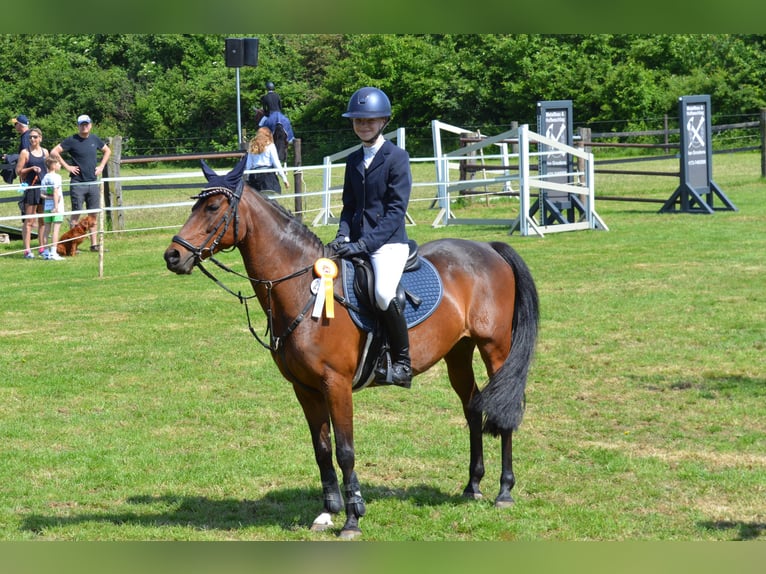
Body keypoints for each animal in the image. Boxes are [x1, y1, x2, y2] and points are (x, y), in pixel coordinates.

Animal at [162, 156, 540, 540]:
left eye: (212, 208)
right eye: (194, 206)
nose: (172, 256)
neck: (303, 287)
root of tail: (488, 248)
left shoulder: (336, 384)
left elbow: (345, 450)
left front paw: (352, 518)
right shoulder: (305, 388)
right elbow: (322, 449)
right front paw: (327, 513)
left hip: (494, 349)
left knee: (504, 410)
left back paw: (504, 491)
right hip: (458, 353)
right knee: (473, 408)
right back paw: (472, 486)